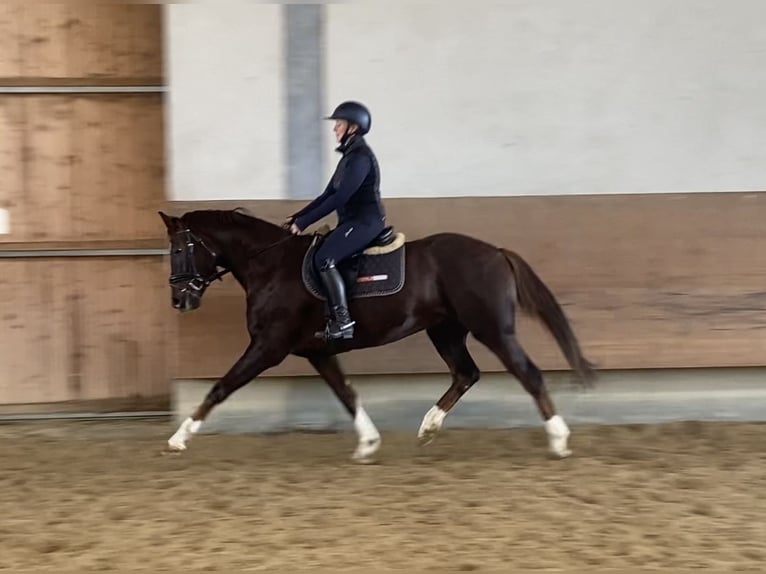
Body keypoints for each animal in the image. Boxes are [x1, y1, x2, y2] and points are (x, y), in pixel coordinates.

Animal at [159, 208, 595, 463]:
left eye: (179, 250)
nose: (179, 300)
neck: (271, 266)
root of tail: (496, 252)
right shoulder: (316, 351)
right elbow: (347, 393)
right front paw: (368, 442)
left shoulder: (269, 346)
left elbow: (221, 387)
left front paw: (180, 437)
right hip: (445, 330)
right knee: (466, 374)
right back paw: (428, 428)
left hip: (492, 329)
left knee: (528, 374)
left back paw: (559, 439)